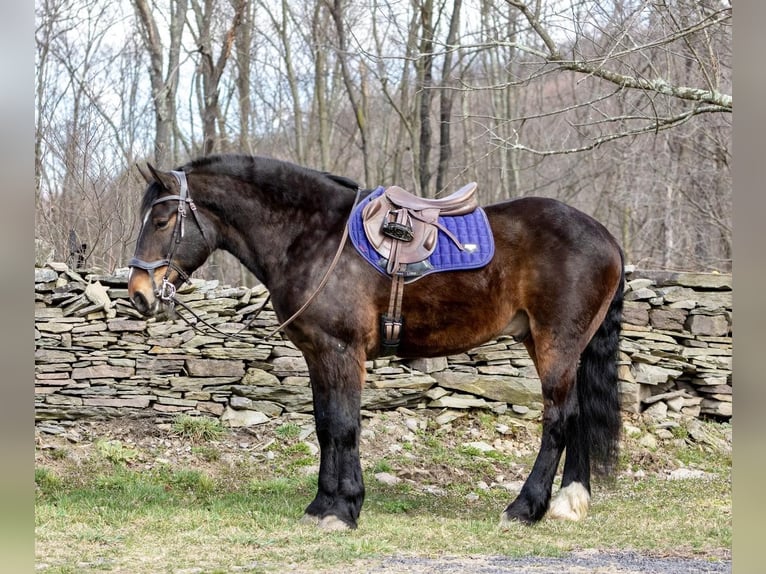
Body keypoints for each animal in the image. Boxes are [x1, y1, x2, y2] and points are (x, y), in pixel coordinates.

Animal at [127, 154, 624, 536]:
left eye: (162, 220)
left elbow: (344, 426)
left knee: (558, 419)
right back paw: (568, 503)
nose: (139, 294)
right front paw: (322, 505)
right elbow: (325, 426)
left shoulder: (342, 353)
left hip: (555, 345)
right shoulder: (318, 355)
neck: (314, 238)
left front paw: (344, 509)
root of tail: (605, 236)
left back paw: (525, 508)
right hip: (557, 347)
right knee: (576, 414)